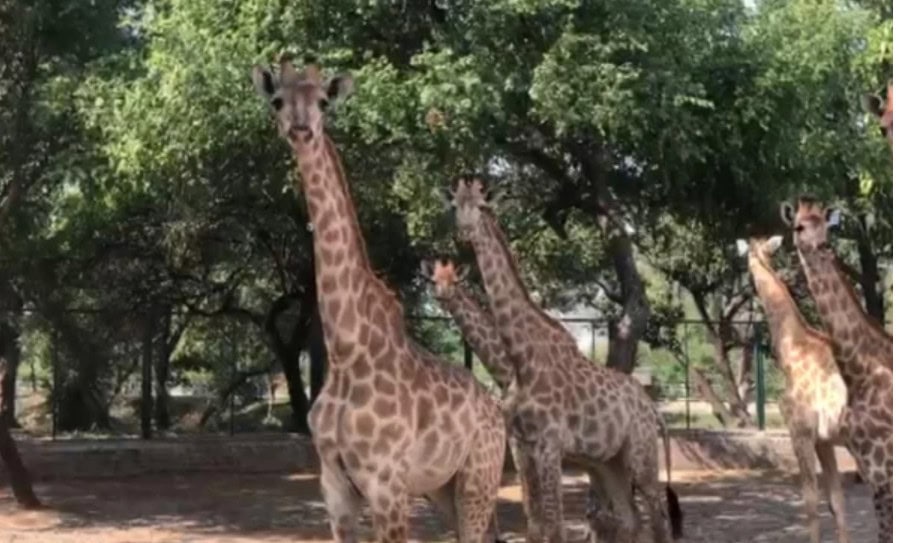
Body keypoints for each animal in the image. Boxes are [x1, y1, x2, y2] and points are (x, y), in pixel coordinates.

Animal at [251, 56, 507, 543]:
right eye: (277, 100)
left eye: (324, 101)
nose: (301, 128)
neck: (346, 350)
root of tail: (497, 409)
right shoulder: (334, 486)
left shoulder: (387, 484)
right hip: (444, 488)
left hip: (478, 478)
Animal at [445, 175, 682, 543]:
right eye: (455, 206)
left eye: (482, 206)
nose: (465, 232)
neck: (521, 358)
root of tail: (652, 407)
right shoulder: (524, 446)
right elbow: (535, 525)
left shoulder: (549, 445)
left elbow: (555, 528)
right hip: (609, 462)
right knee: (629, 518)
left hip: (640, 454)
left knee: (657, 518)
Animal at [782, 196, 893, 543]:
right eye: (798, 227)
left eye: (826, 227)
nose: (821, 247)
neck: (860, 372)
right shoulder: (874, 471)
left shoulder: (884, 471)